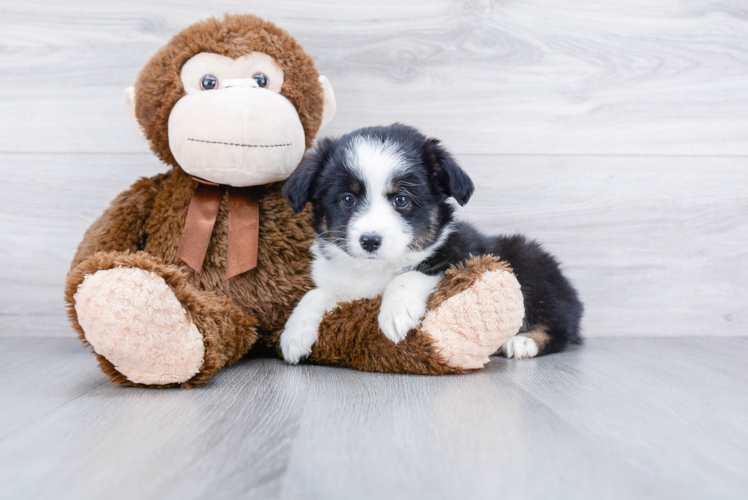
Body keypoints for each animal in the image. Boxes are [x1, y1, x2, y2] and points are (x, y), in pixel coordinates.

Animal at [280, 124, 584, 364]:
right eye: (347, 199)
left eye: (401, 199)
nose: (370, 241)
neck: (375, 269)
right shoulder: (344, 285)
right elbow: (316, 293)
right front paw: (294, 334)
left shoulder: (460, 257)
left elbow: (411, 274)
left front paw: (396, 313)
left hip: (530, 261)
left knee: (561, 327)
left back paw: (523, 341)